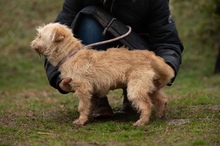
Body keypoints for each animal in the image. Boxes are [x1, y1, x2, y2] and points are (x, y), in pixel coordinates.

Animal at [31, 22, 174, 126]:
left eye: (40, 36)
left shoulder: (82, 88)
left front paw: (81, 121)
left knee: (146, 104)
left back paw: (142, 122)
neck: (71, 54)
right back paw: (159, 116)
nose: (31, 44)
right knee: (162, 100)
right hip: (151, 87)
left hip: (135, 88)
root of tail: (148, 55)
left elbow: (82, 106)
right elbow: (89, 104)